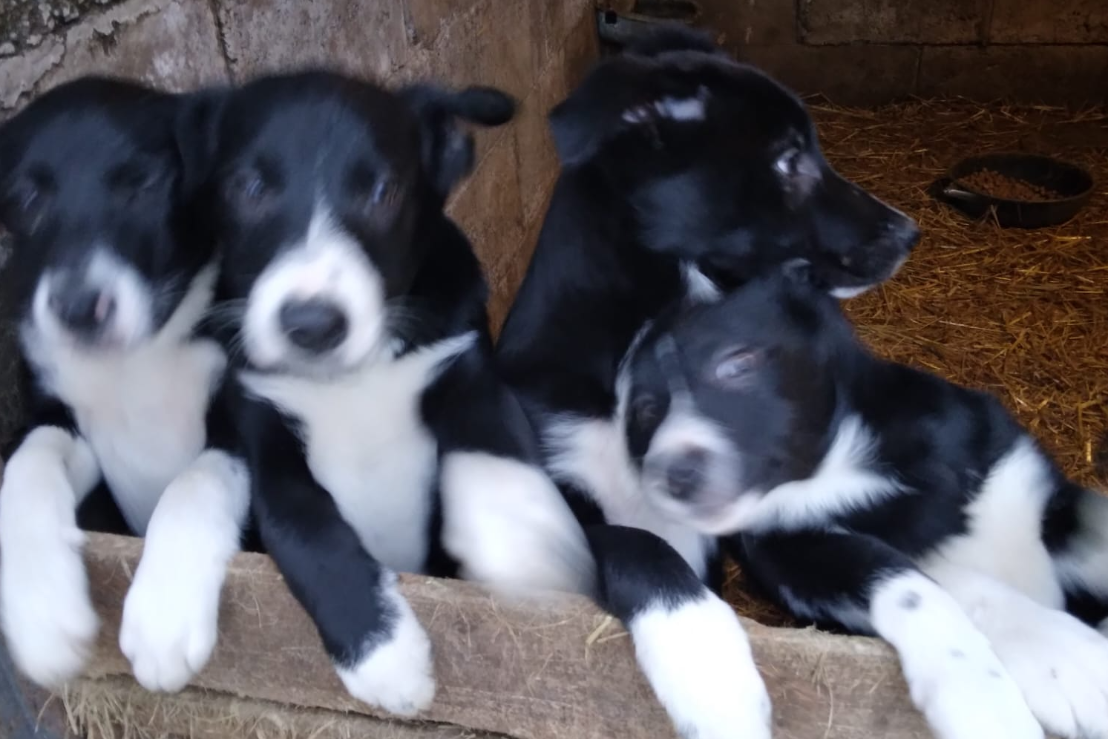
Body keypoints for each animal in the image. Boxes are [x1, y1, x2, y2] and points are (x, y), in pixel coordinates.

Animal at [0, 77, 250, 693]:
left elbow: (193, 482)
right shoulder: (58, 419)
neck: (135, 364)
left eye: (145, 184)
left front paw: (164, 614)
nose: (77, 309)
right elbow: (25, 467)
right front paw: (41, 607)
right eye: (27, 199)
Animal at [178, 71, 595, 716]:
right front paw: (384, 656)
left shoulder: (466, 369)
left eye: (383, 192)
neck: (351, 381)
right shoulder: (266, 442)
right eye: (248, 187)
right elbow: (308, 531)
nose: (312, 324)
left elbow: (497, 460)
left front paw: (525, 543)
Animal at [616, 264, 1108, 739]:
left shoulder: (1028, 484)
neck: (841, 472)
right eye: (645, 410)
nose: (674, 475)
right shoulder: (797, 558)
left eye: (737, 363)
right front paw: (1028, 680)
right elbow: (912, 575)